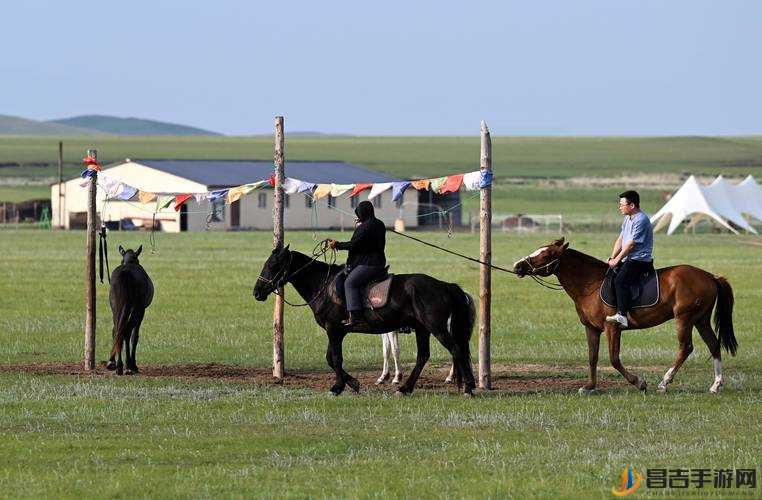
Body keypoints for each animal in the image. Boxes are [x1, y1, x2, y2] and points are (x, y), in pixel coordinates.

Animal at [105, 244, 153, 374]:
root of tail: (125, 273)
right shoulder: (141, 310)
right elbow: (134, 336)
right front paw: (132, 365)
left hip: (116, 307)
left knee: (117, 330)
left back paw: (115, 364)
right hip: (136, 309)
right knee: (126, 331)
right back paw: (127, 366)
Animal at [251, 245, 476, 394]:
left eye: (273, 264)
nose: (257, 292)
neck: (323, 285)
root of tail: (444, 285)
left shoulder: (334, 330)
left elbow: (335, 358)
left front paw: (338, 387)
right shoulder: (336, 331)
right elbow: (330, 359)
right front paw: (353, 383)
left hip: (436, 328)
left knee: (456, 350)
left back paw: (469, 387)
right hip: (422, 329)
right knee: (424, 356)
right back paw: (406, 388)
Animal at [510, 238, 736, 394]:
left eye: (546, 255)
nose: (517, 266)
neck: (590, 285)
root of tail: (710, 276)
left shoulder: (612, 328)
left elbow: (614, 358)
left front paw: (639, 383)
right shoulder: (591, 329)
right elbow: (592, 357)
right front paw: (589, 386)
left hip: (685, 319)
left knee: (685, 348)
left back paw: (664, 383)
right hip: (700, 320)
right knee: (714, 345)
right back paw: (715, 385)